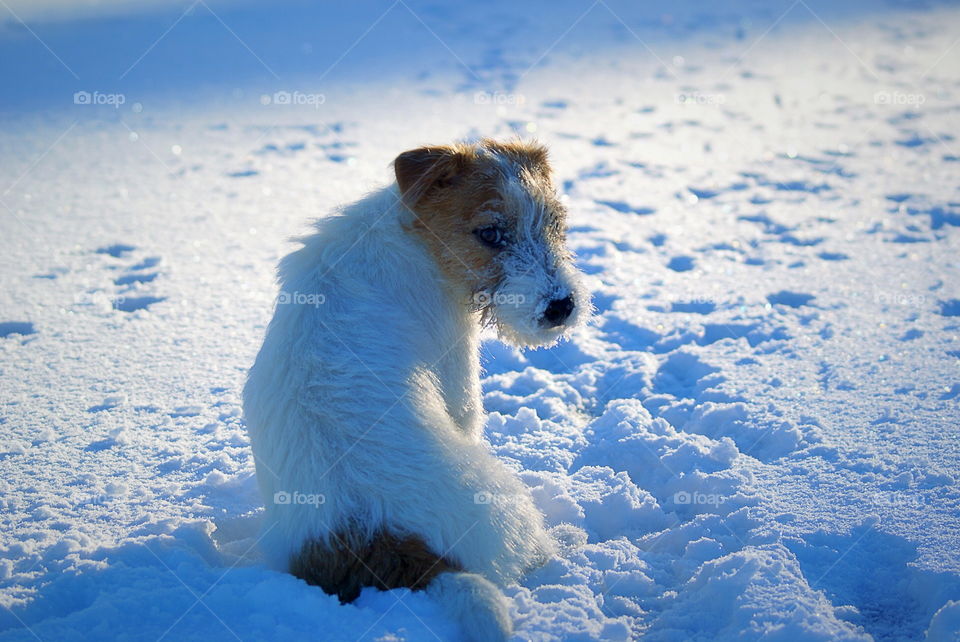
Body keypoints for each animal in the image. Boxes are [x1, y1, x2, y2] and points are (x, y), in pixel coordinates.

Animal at [242, 138, 584, 636]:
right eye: (490, 234)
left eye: (555, 222)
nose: (560, 306)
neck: (416, 239)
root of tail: (383, 543)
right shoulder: (457, 376)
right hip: (509, 507)